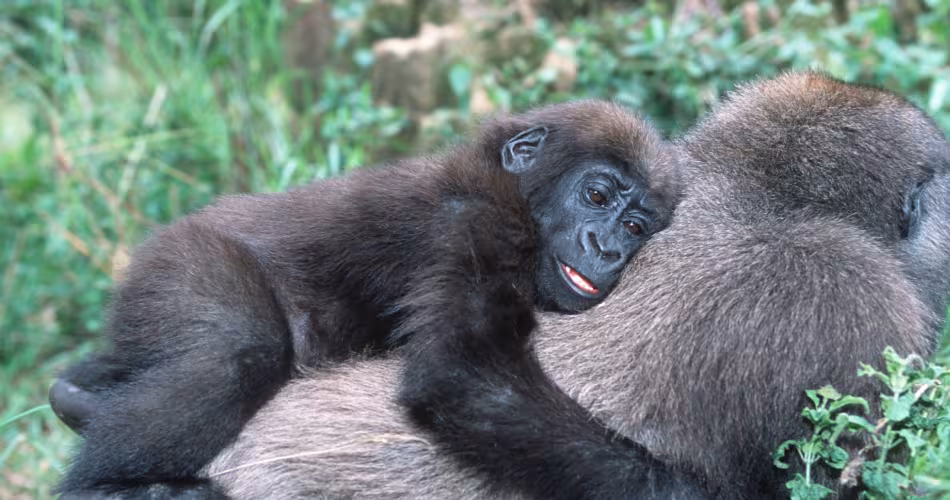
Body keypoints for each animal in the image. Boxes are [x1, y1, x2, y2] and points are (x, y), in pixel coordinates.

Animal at [52, 100, 683, 497]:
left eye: (636, 228)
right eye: (597, 196)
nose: (606, 248)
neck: (514, 189)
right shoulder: (481, 221)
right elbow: (462, 373)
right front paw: (672, 488)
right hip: (178, 261)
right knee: (239, 351)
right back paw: (106, 487)